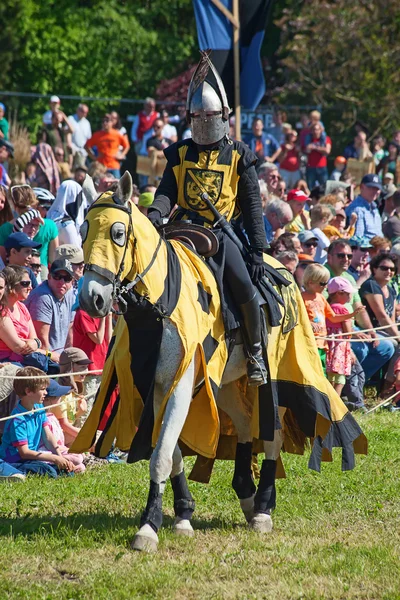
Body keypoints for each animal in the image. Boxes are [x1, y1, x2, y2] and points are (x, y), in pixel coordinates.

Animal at [79, 171, 282, 552]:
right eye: (83, 230)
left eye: (117, 233)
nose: (91, 298)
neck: (157, 303)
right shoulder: (154, 385)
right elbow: (169, 452)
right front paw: (182, 514)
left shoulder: (182, 381)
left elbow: (160, 455)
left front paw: (148, 526)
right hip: (225, 382)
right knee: (245, 424)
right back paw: (247, 496)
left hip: (274, 373)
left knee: (272, 431)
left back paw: (263, 508)